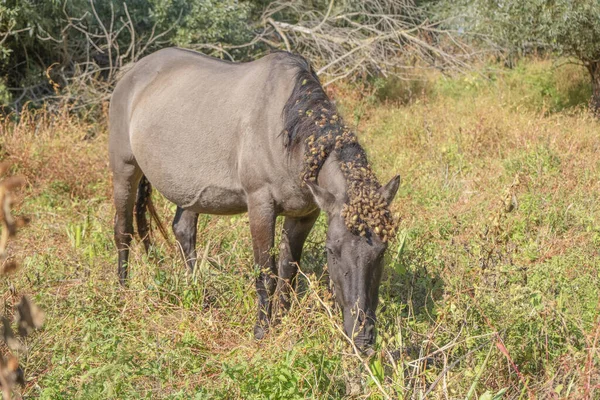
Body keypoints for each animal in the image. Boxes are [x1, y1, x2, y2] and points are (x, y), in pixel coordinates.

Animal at [109, 47, 398, 348]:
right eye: (332, 250)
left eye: (382, 250)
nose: (363, 337)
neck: (286, 133)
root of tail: (132, 73)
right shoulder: (260, 206)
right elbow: (265, 273)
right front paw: (262, 330)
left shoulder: (305, 215)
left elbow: (288, 271)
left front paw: (282, 320)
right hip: (124, 170)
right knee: (123, 231)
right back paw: (123, 290)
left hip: (189, 191)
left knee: (183, 231)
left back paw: (200, 295)